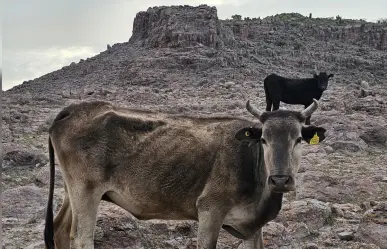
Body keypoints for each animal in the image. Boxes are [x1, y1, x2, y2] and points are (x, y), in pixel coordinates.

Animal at [44, 98, 326, 248]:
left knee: (60, 231)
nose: (280, 179)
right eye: (264, 139)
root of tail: (73, 109)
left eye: (299, 139)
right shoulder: (210, 210)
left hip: (72, 191)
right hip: (86, 192)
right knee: (80, 238)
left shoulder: (253, 226)